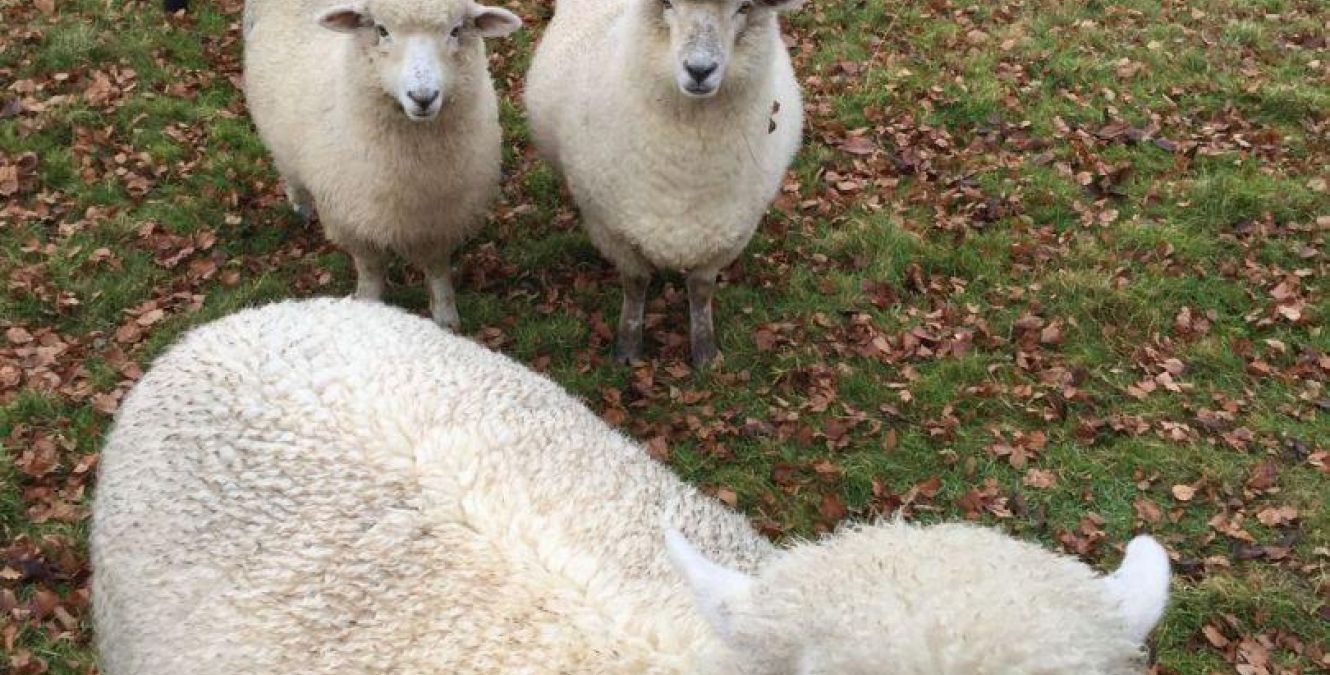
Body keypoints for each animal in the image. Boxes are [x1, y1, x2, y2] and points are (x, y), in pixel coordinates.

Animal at [242, 0, 521, 329]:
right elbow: (371, 272)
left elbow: (437, 270)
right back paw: (301, 205)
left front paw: (445, 318)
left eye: (455, 30)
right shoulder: (353, 223)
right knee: (289, 170)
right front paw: (368, 308)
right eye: (381, 30)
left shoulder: (439, 220)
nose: (423, 97)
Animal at [524, 0, 805, 368]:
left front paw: (705, 352)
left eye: (744, 8)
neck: (685, 174)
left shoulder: (730, 233)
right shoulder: (611, 228)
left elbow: (701, 289)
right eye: (668, 4)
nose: (699, 70)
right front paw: (628, 349)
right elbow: (635, 283)